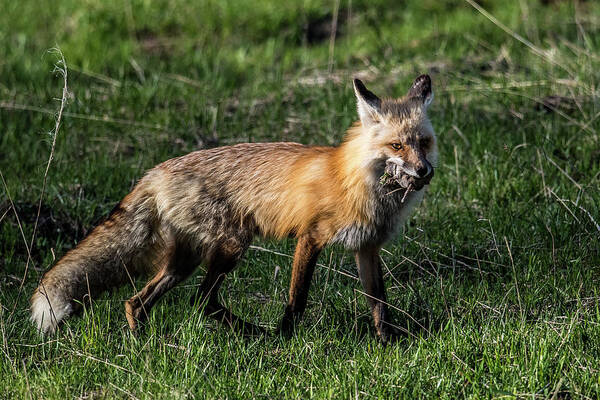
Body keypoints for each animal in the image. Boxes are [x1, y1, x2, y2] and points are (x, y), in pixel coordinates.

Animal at [31, 74, 436, 340]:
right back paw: (257, 334)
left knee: (138, 302)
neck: (355, 180)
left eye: (424, 143)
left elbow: (379, 302)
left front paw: (387, 343)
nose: (424, 171)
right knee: (201, 302)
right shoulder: (311, 237)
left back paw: (141, 344)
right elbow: (298, 299)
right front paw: (286, 338)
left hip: (185, 260)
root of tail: (155, 172)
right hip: (230, 246)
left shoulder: (367, 247)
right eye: (397, 146)